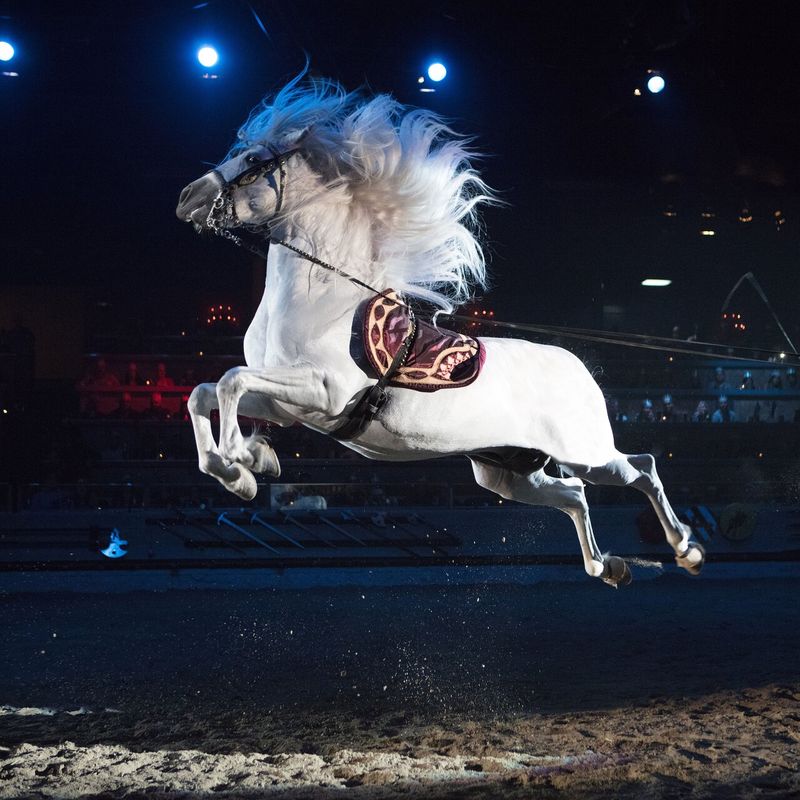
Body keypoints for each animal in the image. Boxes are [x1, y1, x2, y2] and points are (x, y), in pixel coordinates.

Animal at [175, 73, 705, 587]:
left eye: (251, 158)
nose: (188, 198)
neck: (323, 302)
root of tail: (579, 368)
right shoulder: (289, 407)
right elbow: (204, 393)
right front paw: (247, 467)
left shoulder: (323, 390)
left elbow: (231, 381)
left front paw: (242, 460)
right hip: (509, 473)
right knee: (575, 494)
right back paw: (608, 567)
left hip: (585, 452)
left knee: (643, 468)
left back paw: (686, 549)